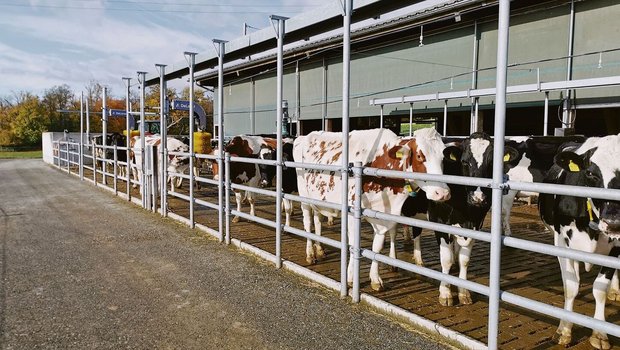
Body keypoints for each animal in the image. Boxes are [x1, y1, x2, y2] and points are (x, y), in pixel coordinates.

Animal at [294, 127, 452, 292]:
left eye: (443, 157)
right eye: (420, 155)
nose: (442, 193)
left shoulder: (383, 215)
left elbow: (377, 247)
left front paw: (375, 279)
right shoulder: (352, 213)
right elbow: (353, 244)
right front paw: (351, 277)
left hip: (318, 199)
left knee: (317, 221)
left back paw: (319, 249)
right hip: (304, 197)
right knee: (307, 223)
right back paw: (310, 254)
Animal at [536, 135, 620, 350]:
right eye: (590, 173)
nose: (614, 222)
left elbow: (600, 288)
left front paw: (600, 333)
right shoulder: (561, 242)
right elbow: (571, 286)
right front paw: (564, 330)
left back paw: (615, 290)